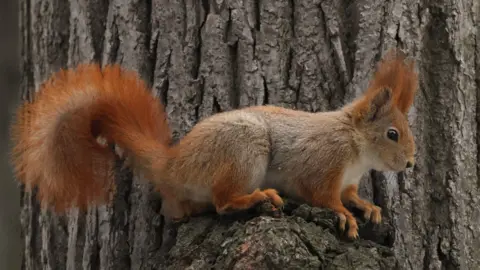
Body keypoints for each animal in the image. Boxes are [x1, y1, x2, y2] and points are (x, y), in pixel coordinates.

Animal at [10, 48, 416, 238]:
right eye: (392, 134)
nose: (412, 162)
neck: (356, 150)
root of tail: (172, 163)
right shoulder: (322, 163)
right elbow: (322, 196)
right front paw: (345, 215)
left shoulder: (347, 178)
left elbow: (350, 194)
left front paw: (367, 206)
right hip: (244, 149)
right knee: (223, 202)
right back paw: (255, 197)